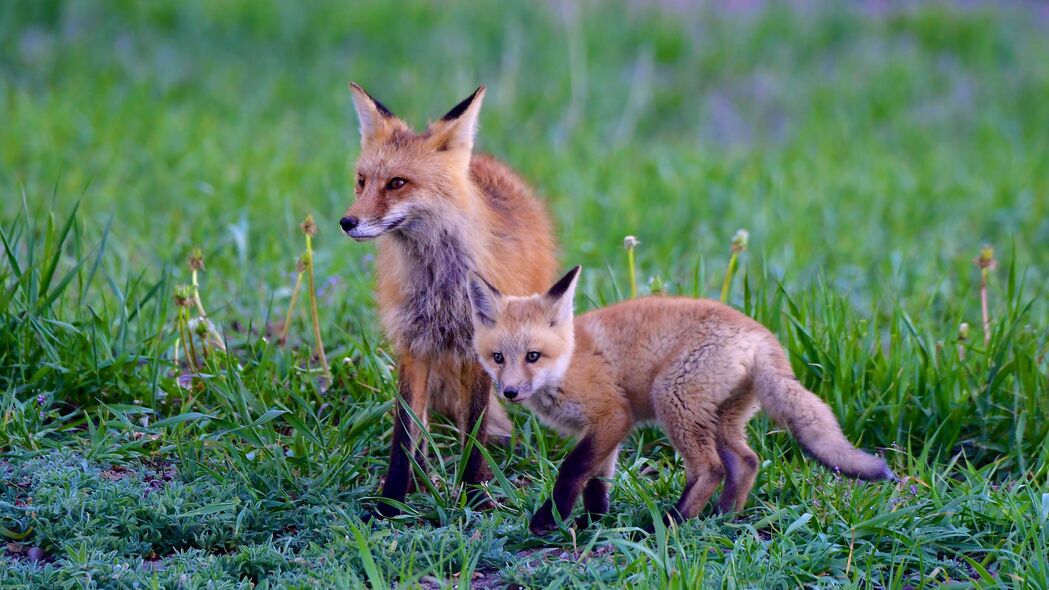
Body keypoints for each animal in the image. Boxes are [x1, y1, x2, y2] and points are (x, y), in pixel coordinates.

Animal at [341, 83, 558, 514]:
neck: (440, 287)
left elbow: (473, 429)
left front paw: (476, 494)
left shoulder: (481, 350)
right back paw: (424, 477)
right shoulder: (413, 344)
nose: (347, 222)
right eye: (362, 181)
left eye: (397, 183)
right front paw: (392, 502)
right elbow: (404, 432)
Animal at [467, 266, 893, 533]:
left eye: (533, 356)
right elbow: (597, 482)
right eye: (498, 358)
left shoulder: (612, 416)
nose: (509, 392)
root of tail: (760, 334)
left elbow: (573, 470)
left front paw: (551, 519)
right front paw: (593, 523)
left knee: (710, 469)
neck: (568, 362)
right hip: (720, 418)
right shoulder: (604, 430)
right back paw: (722, 517)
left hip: (673, 400)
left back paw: (671, 523)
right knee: (745, 462)